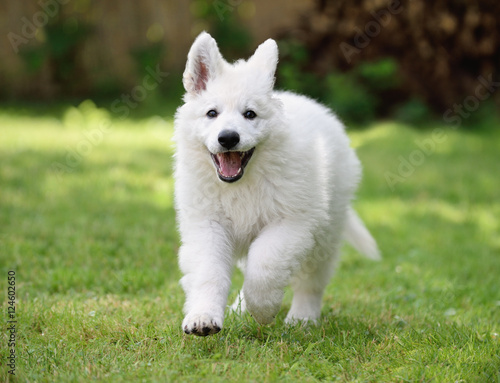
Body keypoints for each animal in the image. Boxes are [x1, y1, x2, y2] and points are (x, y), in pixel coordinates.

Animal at [173, 33, 378, 340]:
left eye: (250, 114)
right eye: (212, 113)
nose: (228, 138)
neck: (242, 184)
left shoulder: (292, 224)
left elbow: (264, 266)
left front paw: (263, 308)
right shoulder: (207, 226)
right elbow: (209, 273)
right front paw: (203, 316)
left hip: (325, 234)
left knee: (311, 281)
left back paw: (302, 318)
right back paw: (239, 308)